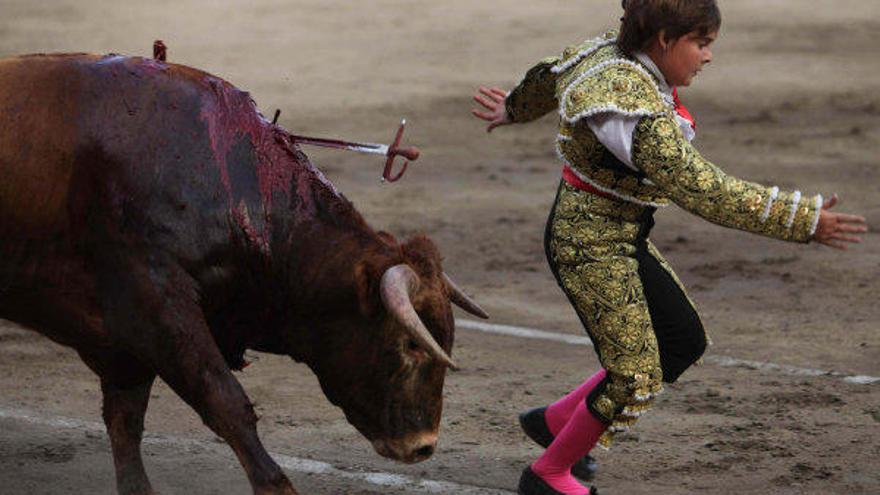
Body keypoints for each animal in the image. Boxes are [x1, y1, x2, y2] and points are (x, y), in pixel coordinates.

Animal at [0, 52, 484, 494]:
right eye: (409, 342)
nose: (423, 445)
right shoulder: (153, 303)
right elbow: (225, 401)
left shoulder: (123, 342)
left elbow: (126, 422)